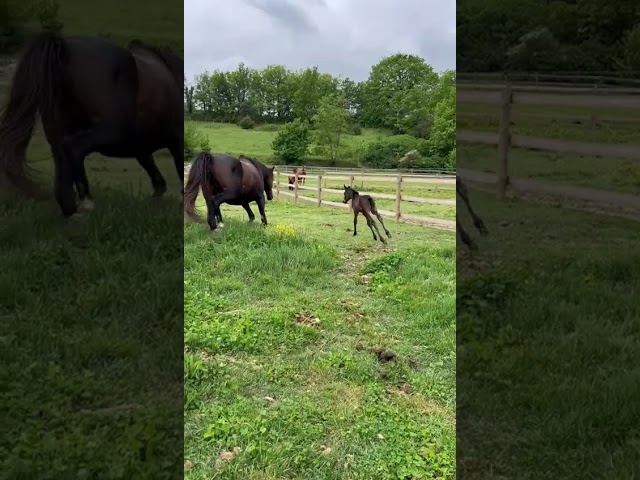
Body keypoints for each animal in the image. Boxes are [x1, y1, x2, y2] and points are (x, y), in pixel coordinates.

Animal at [0, 32, 184, 219]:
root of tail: (64, 46)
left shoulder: (141, 148)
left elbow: (157, 178)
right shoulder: (174, 140)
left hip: (58, 135)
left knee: (63, 169)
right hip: (111, 134)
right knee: (73, 149)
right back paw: (86, 201)